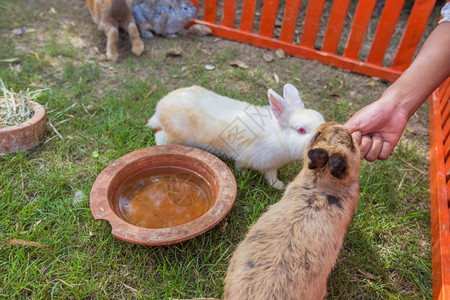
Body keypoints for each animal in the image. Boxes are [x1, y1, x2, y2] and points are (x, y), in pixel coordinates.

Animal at [148, 83, 324, 189]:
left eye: (321, 119)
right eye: (301, 130)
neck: (279, 138)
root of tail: (160, 108)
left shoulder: (271, 166)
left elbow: (271, 176)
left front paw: (279, 185)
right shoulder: (244, 156)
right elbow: (241, 166)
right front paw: (243, 175)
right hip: (173, 136)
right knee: (159, 136)